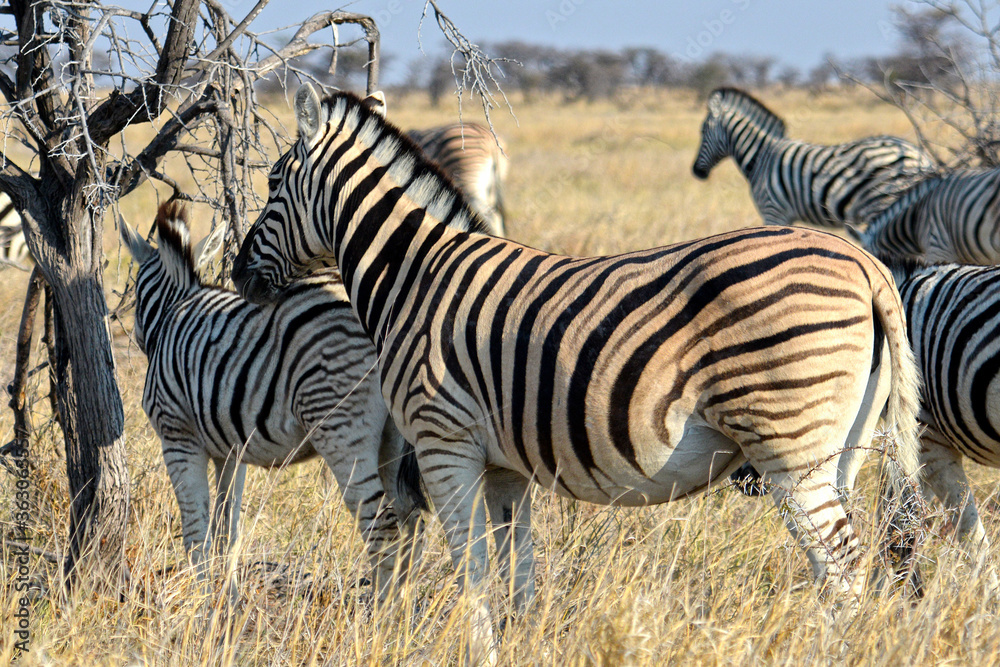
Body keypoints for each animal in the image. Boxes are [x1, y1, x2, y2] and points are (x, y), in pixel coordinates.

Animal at [120, 202, 426, 595]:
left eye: (138, 299)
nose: (141, 339)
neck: (176, 310)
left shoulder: (177, 437)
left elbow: (195, 533)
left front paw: (201, 600)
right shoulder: (229, 450)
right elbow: (228, 532)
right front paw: (227, 599)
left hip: (341, 429)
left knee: (383, 527)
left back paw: (380, 610)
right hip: (393, 436)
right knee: (411, 523)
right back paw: (406, 607)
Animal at [693, 87, 935, 229]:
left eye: (702, 130)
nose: (696, 172)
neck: (761, 156)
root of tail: (920, 156)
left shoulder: (773, 211)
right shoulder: (785, 216)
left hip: (882, 203)